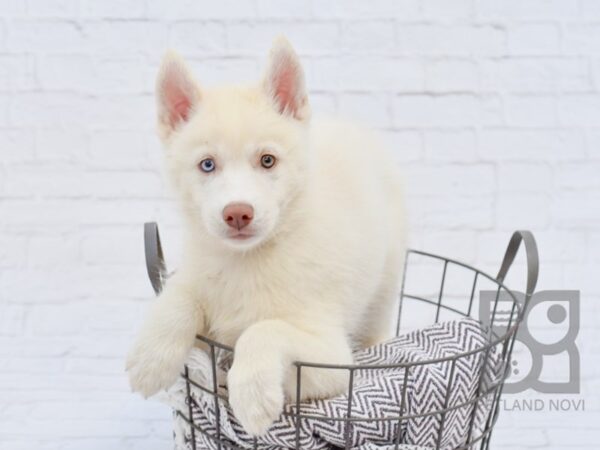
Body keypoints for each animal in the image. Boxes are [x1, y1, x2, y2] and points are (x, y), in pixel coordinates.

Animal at [126, 37, 408, 436]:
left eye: (268, 160)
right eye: (207, 165)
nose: (237, 213)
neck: (249, 260)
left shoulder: (331, 359)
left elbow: (264, 329)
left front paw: (253, 393)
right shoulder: (198, 273)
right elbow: (177, 296)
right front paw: (150, 358)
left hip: (384, 284)